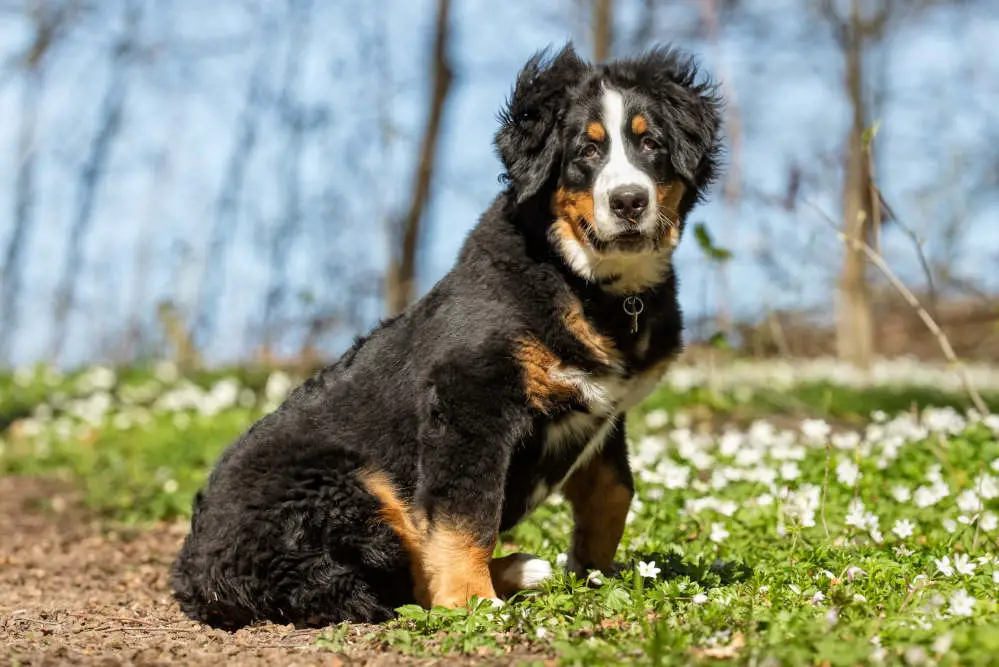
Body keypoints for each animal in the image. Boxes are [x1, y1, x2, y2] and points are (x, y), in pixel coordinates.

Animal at [170, 43, 720, 632]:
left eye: (651, 143)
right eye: (585, 152)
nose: (628, 201)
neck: (588, 286)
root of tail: (194, 576)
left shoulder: (603, 410)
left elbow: (614, 492)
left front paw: (596, 572)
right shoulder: (470, 401)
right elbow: (464, 514)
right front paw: (472, 602)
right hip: (347, 485)